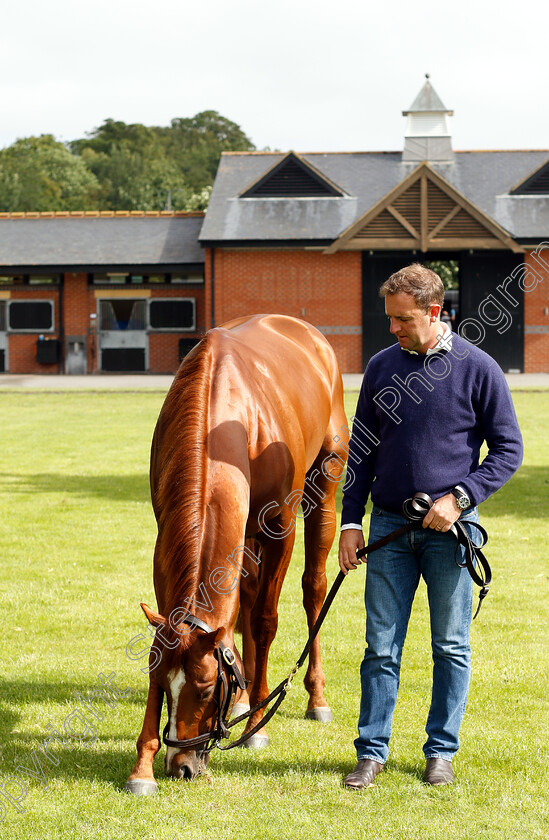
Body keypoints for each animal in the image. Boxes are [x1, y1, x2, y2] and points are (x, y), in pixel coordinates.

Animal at [126, 316, 344, 796]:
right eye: (163, 686)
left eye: (208, 691)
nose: (182, 765)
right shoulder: (166, 538)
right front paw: (142, 766)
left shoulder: (280, 526)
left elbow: (264, 621)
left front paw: (258, 724)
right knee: (244, 593)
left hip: (325, 484)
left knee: (313, 589)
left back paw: (313, 696)